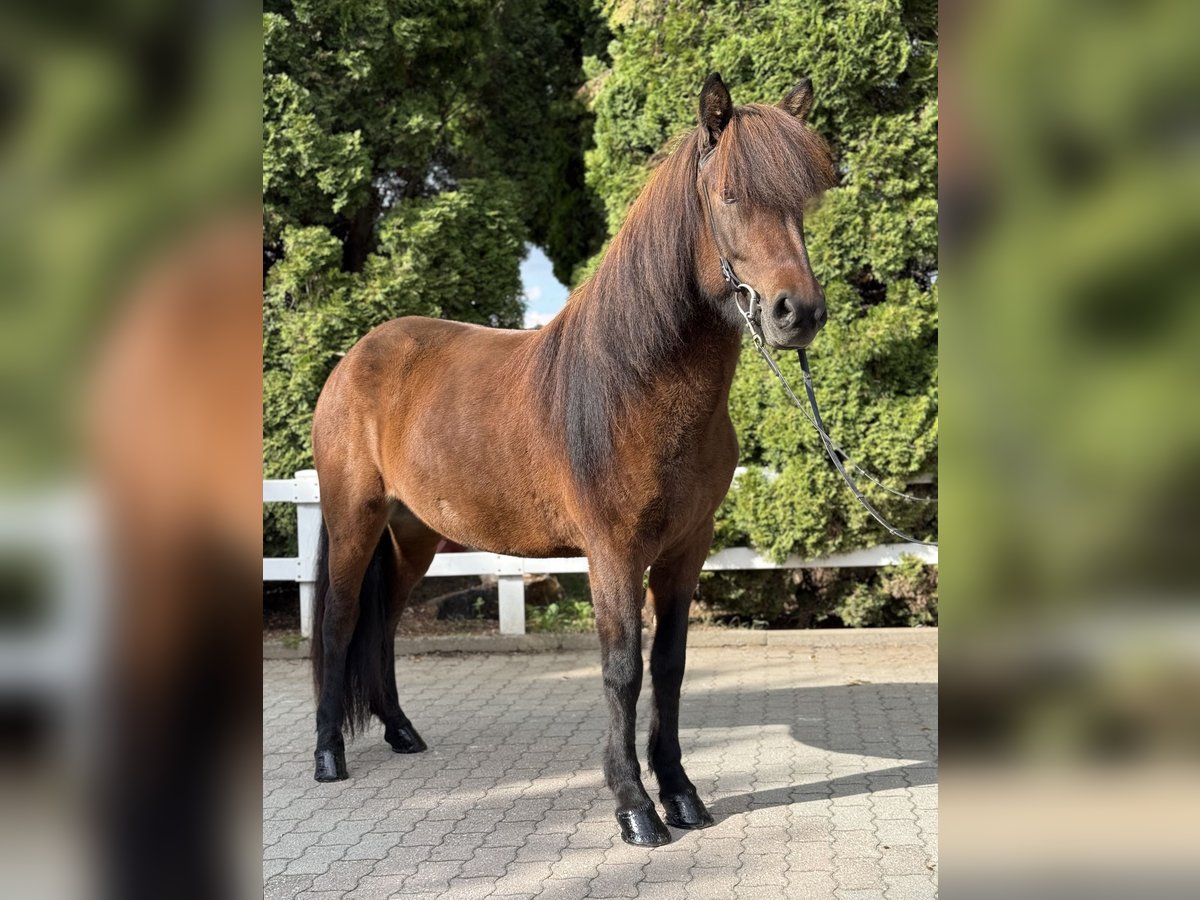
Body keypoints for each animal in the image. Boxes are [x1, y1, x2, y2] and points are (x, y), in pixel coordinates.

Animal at [309, 72, 837, 846]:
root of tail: (356, 359)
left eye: (805, 199)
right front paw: (635, 808)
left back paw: (402, 733)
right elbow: (622, 671)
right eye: (730, 195)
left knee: (384, 625)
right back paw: (328, 756)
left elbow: (670, 666)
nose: (796, 313)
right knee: (340, 621)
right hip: (356, 519)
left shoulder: (686, 549)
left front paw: (682, 794)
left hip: (414, 536)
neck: (637, 385)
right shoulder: (612, 553)